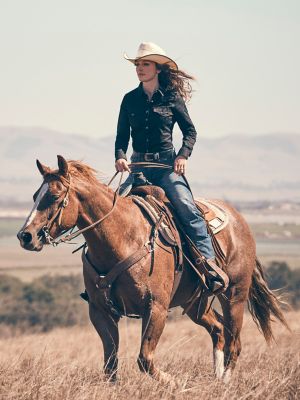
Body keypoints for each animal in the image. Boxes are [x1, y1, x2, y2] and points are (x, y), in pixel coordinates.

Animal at [16, 155, 288, 384]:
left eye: (54, 196)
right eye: (34, 195)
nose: (25, 236)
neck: (123, 237)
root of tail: (239, 219)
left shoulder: (155, 308)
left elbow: (145, 358)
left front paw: (175, 384)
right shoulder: (100, 311)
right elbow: (110, 365)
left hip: (234, 295)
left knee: (235, 342)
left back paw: (224, 382)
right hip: (195, 303)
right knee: (219, 330)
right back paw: (216, 377)